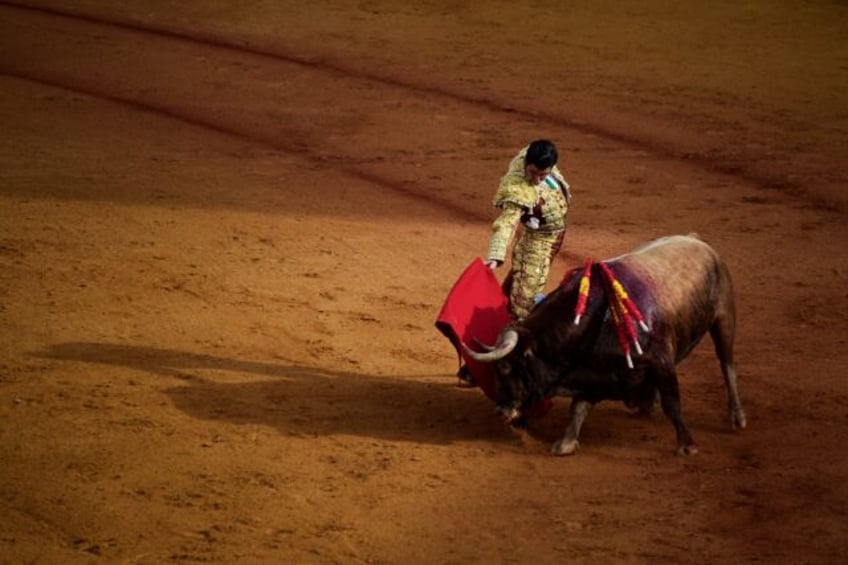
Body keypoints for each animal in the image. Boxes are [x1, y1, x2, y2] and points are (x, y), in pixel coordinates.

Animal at [464, 231, 748, 456]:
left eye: (506, 367)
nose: (500, 410)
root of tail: (697, 240)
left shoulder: (661, 360)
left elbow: (673, 404)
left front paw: (687, 445)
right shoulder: (592, 372)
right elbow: (578, 408)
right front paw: (566, 443)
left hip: (724, 316)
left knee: (727, 364)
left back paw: (737, 416)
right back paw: (646, 405)